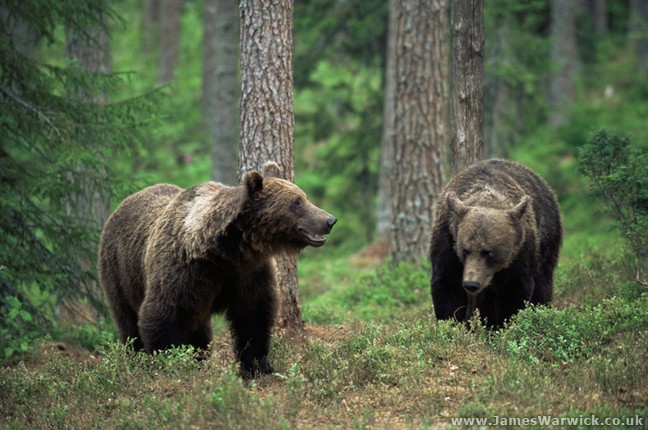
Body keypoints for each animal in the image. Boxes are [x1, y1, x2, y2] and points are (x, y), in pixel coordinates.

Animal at [98, 162, 336, 376]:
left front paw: (258, 366)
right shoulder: (184, 272)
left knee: (199, 330)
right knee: (128, 321)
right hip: (119, 272)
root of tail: (122, 205)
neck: (226, 250)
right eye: (297, 202)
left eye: (303, 196)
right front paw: (170, 363)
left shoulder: (248, 272)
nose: (330, 219)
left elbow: (254, 314)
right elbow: (164, 315)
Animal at [429, 159, 562, 327]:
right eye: (465, 250)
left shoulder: (520, 253)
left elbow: (515, 293)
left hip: (547, 242)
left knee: (543, 283)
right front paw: (452, 324)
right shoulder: (448, 242)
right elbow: (447, 288)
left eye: (488, 252)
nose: (471, 283)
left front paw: (504, 325)